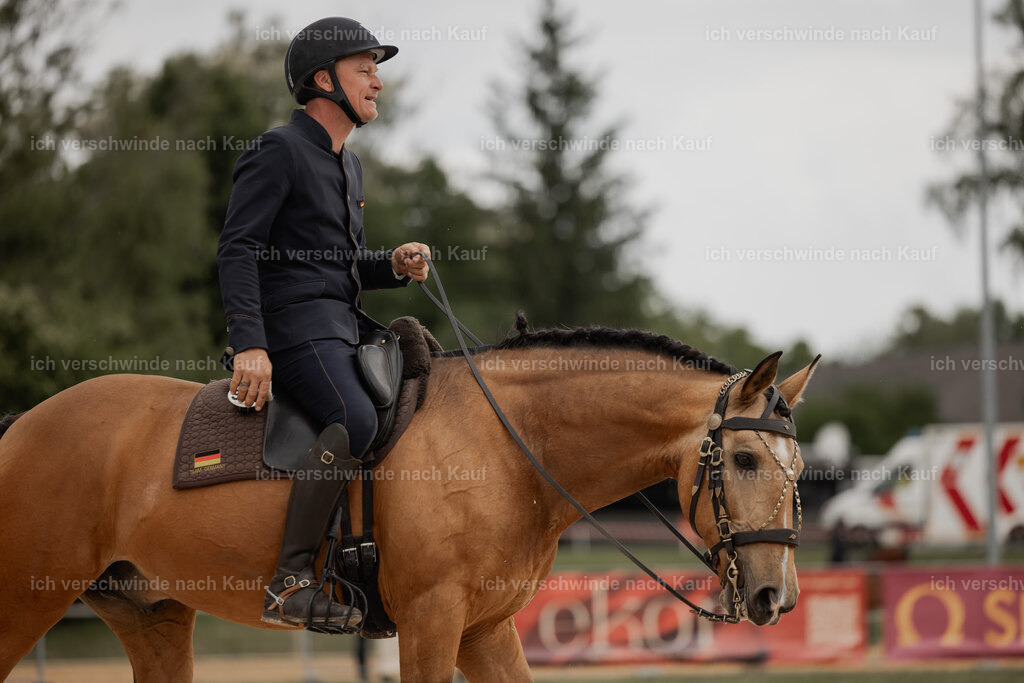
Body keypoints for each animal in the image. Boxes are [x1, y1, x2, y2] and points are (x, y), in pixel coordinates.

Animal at [0, 326, 818, 682]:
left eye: (799, 469)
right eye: (744, 459)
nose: (777, 596)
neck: (509, 445)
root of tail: (22, 425)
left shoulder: (484, 629)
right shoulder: (430, 623)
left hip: (154, 616)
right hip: (26, 599)